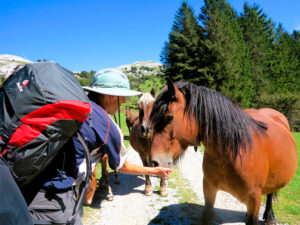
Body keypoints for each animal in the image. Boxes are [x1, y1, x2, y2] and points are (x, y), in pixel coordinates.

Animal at [146, 80, 298, 224]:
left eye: (169, 117)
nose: (154, 162)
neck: (234, 153)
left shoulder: (254, 200)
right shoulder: (209, 189)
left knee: (270, 194)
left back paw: (270, 217)